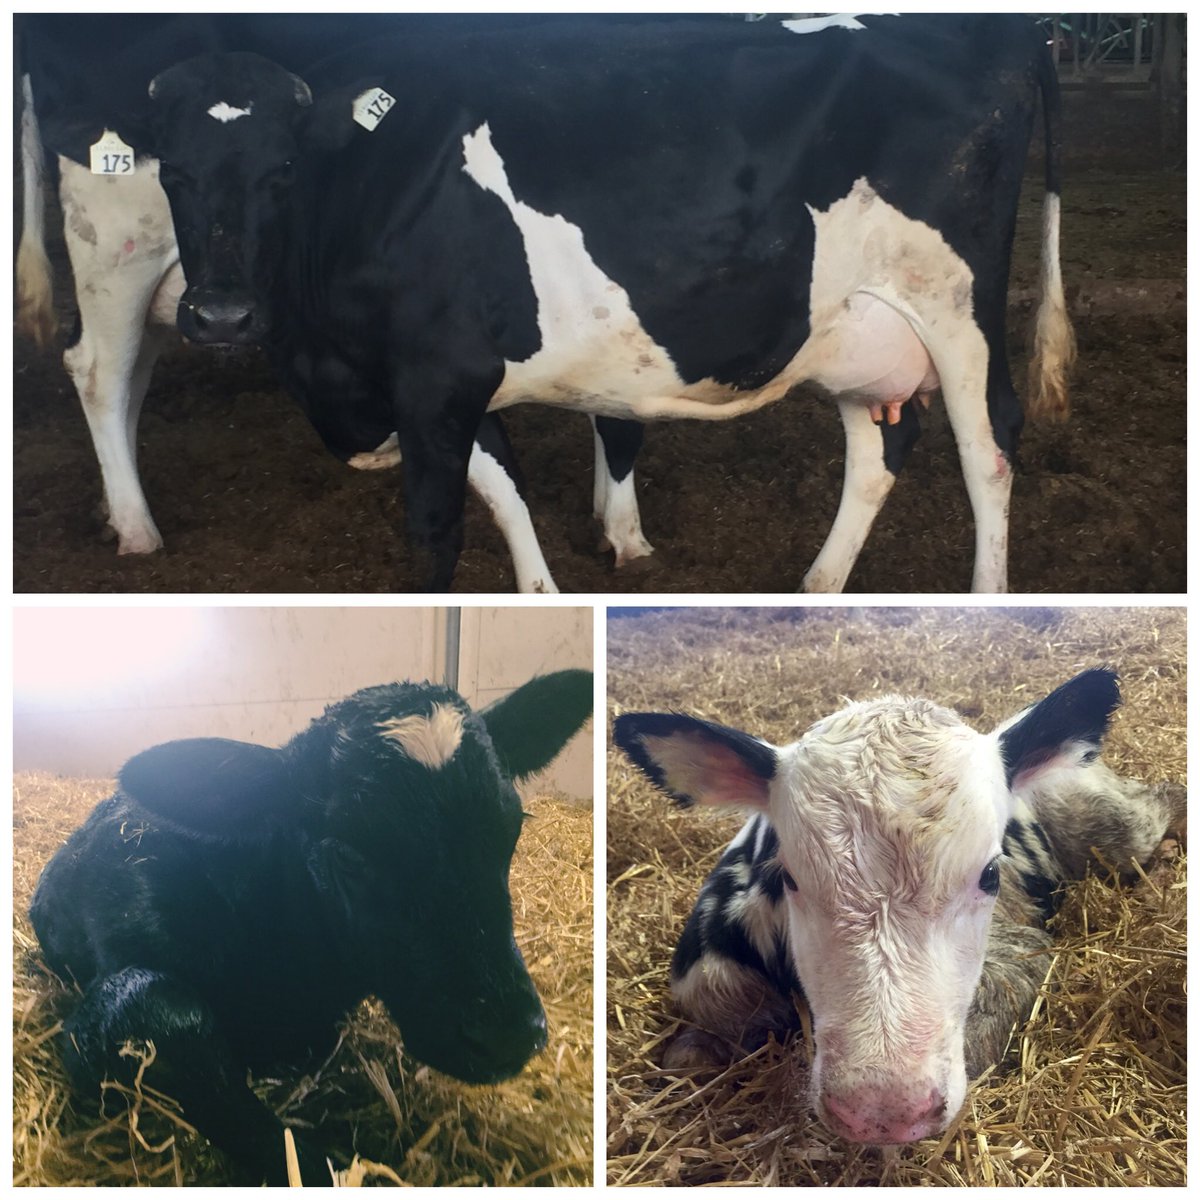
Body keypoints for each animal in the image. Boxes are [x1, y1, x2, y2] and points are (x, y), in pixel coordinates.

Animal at [14, 14, 656, 593]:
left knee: (138, 361)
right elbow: (619, 413)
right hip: (118, 241)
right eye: (171, 167)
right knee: (100, 368)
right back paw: (135, 527)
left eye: (289, 166)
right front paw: (626, 537)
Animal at [138, 15, 1073, 594]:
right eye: (171, 171)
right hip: (854, 326)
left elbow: (438, 531)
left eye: (283, 170)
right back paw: (818, 582)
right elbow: (508, 489)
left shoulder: (437, 379)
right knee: (879, 446)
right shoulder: (445, 383)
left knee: (989, 448)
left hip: (956, 307)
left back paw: (985, 593)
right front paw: (544, 590)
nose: (221, 316)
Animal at [613, 668, 1175, 1145]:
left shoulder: (1020, 951)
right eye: (789, 876)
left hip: (1109, 820)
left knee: (1162, 800)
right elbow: (694, 1042)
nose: (882, 1111)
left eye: (990, 874)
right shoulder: (704, 970)